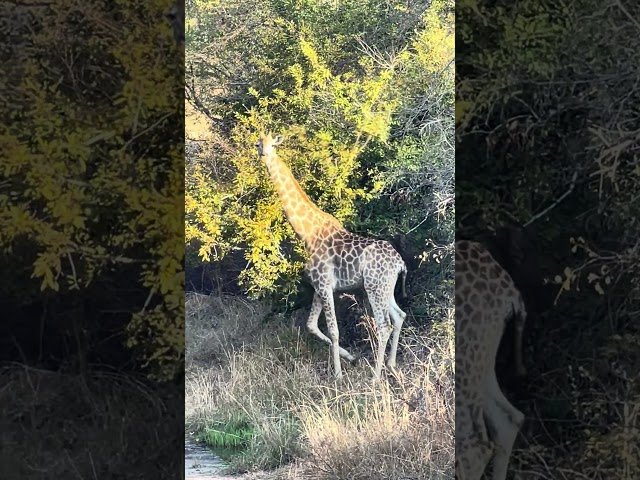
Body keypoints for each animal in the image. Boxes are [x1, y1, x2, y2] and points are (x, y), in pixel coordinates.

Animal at [255, 132, 408, 380]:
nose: (263, 153)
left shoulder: (325, 284)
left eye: (272, 144)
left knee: (384, 325)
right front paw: (351, 358)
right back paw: (391, 365)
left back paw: (376, 376)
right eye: (257, 143)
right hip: (385, 288)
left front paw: (337, 374)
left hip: (375, 287)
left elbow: (334, 330)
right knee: (399, 316)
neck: (307, 233)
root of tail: (400, 263)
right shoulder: (319, 287)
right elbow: (311, 326)